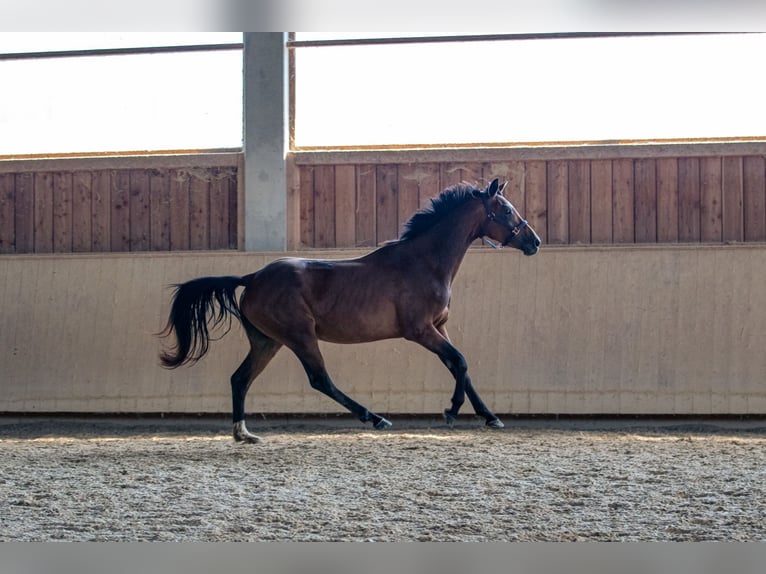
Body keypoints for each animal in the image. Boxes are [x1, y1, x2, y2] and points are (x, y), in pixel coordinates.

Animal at [158, 178, 540, 444]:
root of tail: (252, 278)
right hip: (299, 337)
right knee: (319, 379)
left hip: (268, 341)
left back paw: (243, 433)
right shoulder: (420, 331)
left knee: (240, 378)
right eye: (507, 210)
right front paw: (451, 410)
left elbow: (462, 367)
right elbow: (459, 361)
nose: (534, 242)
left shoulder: (439, 327)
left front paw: (489, 416)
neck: (424, 262)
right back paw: (374, 417)